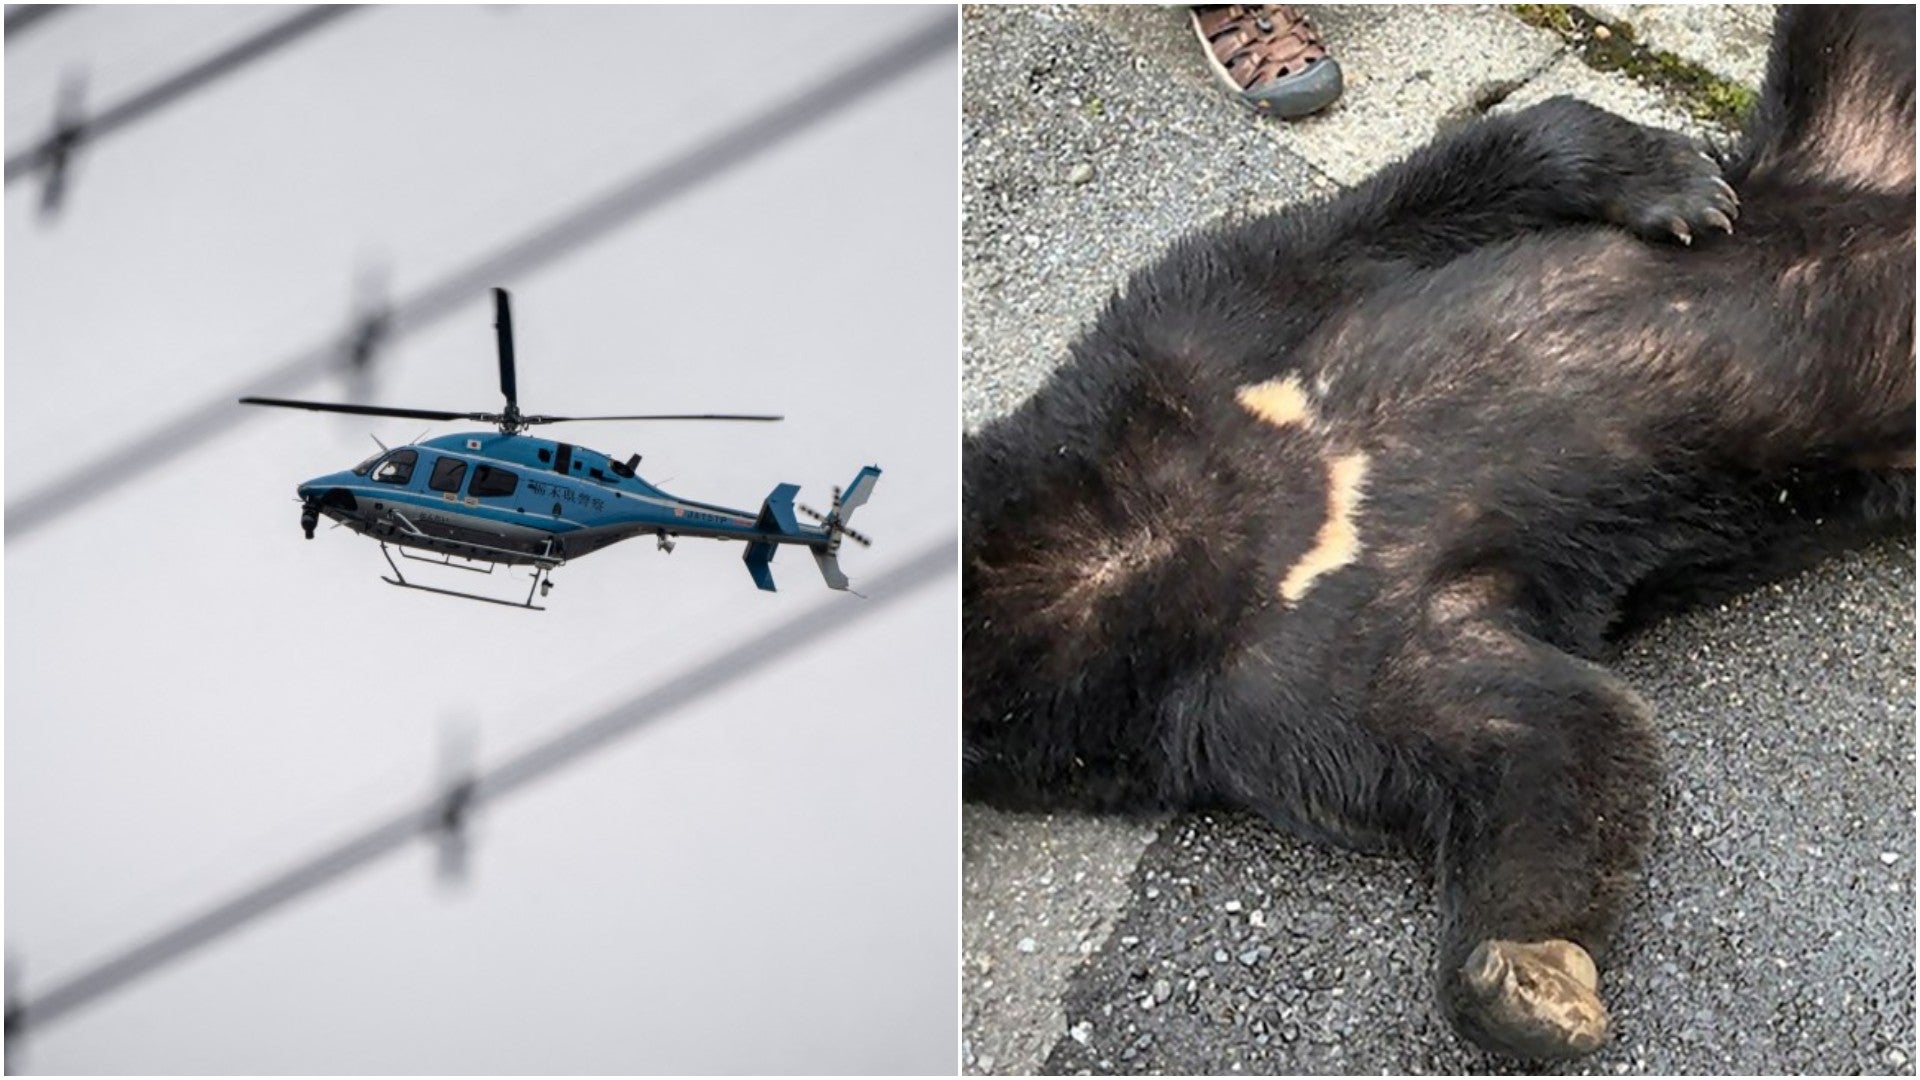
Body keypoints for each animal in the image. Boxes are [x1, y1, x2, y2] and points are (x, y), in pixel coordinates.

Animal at [962, 6, 1914, 1061]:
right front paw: (1525, 976)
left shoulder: (1193, 339)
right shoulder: (1253, 690)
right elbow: (1539, 731)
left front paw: (1676, 181)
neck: (1144, 538)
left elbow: (1391, 211)